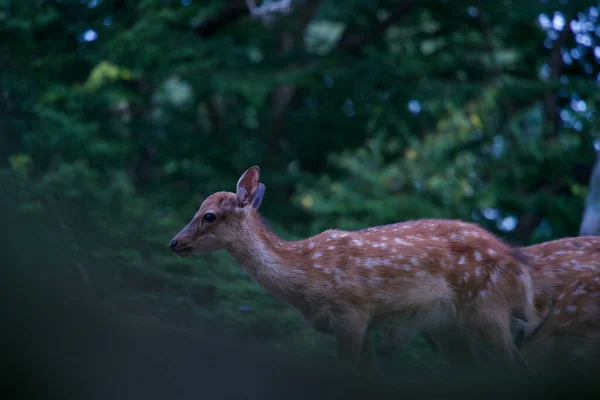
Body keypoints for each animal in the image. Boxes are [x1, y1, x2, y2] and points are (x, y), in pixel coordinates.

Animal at [168, 166, 544, 372]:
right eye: (198, 209)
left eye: (209, 216)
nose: (174, 242)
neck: (305, 275)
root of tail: (519, 268)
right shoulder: (366, 324)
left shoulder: (351, 311)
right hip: (448, 326)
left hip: (486, 309)